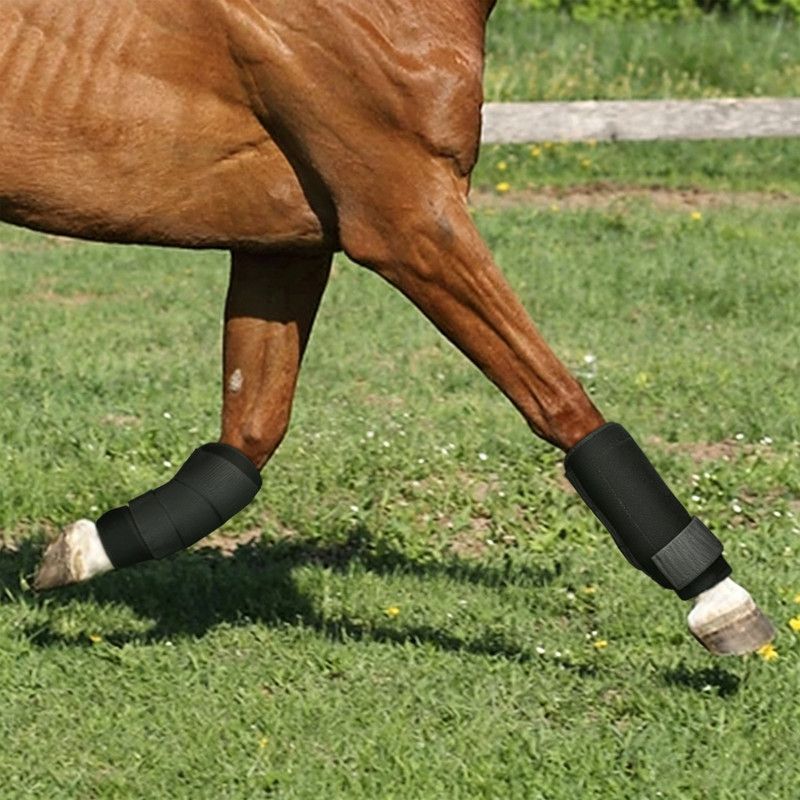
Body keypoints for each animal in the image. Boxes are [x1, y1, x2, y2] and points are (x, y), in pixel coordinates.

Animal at [1, 0, 774, 655]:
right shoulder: (409, 223)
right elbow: (558, 401)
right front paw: (721, 603)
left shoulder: (284, 245)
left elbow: (247, 437)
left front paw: (77, 551)